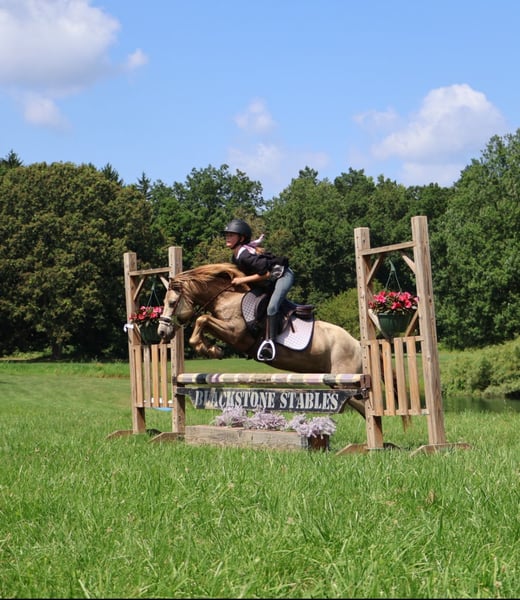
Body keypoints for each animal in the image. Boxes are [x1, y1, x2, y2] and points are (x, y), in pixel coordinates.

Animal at [157, 263, 367, 417]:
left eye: (172, 303)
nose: (162, 332)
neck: (227, 298)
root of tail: (357, 344)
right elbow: (204, 321)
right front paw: (210, 348)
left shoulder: (236, 334)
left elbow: (203, 319)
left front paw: (210, 349)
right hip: (338, 383)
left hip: (345, 381)